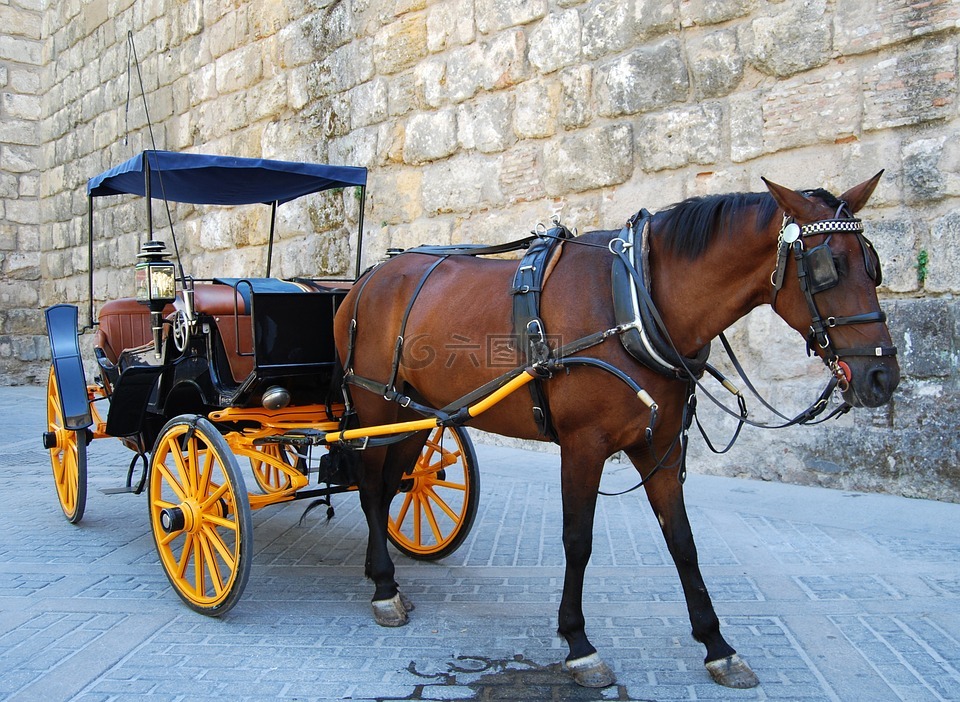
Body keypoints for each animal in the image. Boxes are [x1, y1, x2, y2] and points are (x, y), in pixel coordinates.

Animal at [332, 173, 899, 688]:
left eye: (873, 265)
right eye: (827, 269)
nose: (882, 376)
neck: (635, 304)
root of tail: (367, 278)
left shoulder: (661, 448)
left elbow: (683, 541)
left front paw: (716, 644)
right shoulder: (583, 447)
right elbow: (577, 540)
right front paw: (578, 644)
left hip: (417, 414)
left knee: (394, 486)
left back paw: (381, 573)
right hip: (375, 405)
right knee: (369, 486)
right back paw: (384, 588)